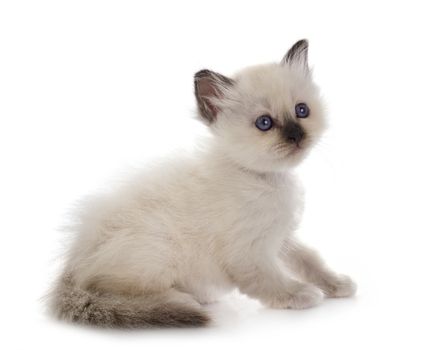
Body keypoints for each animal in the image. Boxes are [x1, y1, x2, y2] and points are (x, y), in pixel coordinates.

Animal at [48, 40, 356, 328]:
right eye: (265, 123)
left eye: (301, 110)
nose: (296, 135)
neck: (265, 179)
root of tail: (72, 265)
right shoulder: (247, 252)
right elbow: (270, 280)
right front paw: (301, 294)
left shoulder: (281, 237)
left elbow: (309, 260)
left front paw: (336, 284)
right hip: (157, 250)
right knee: (110, 292)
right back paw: (181, 301)